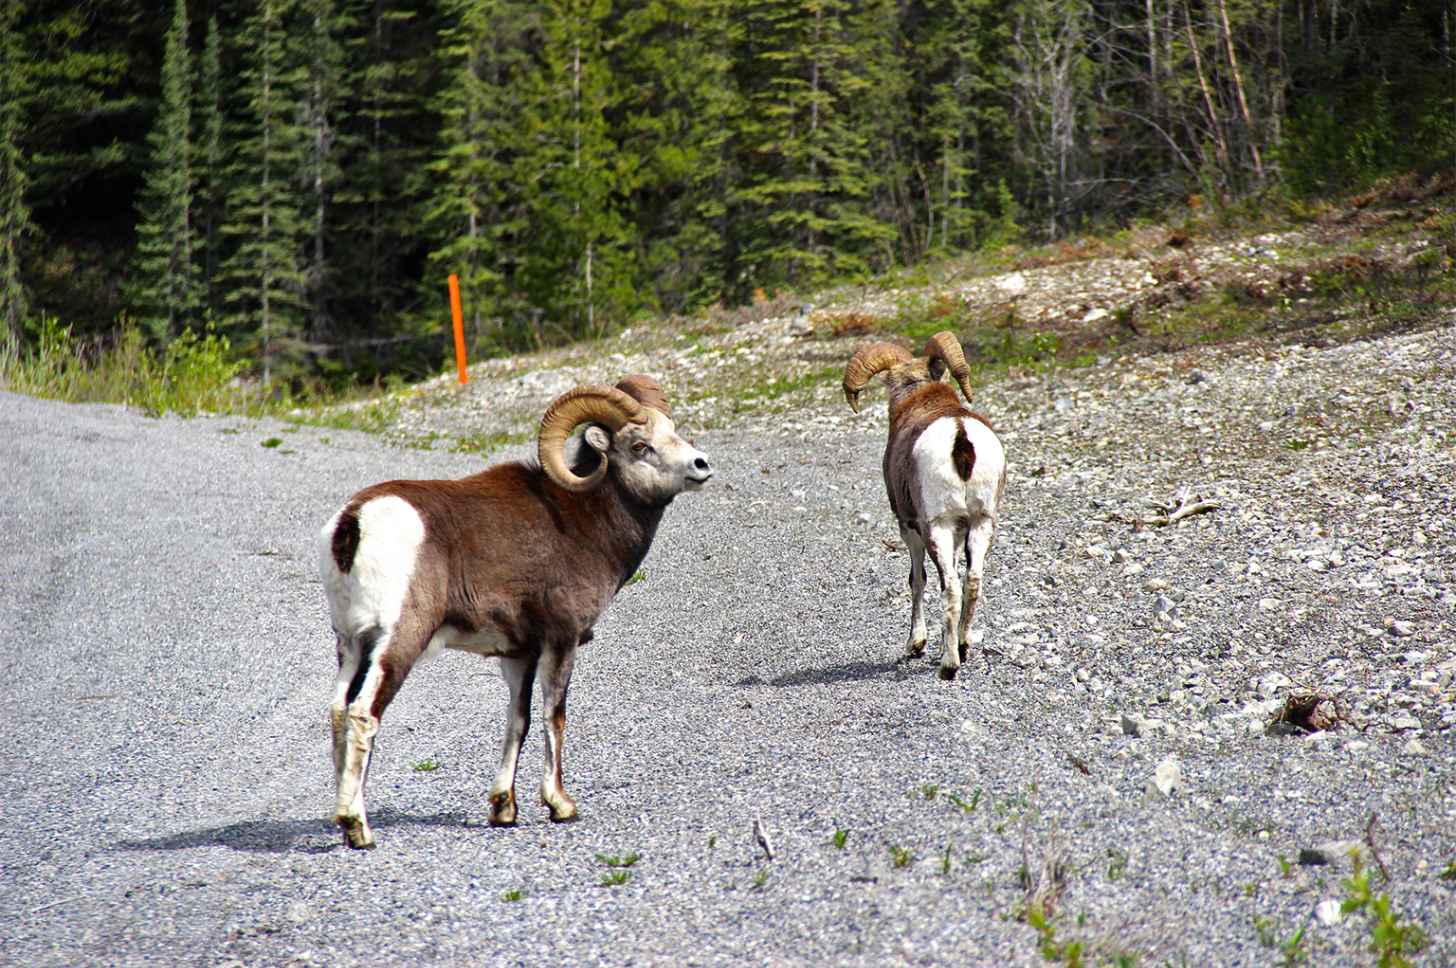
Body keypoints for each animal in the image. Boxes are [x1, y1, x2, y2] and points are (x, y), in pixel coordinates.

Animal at [318, 375, 712, 848]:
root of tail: (352, 525)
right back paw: (358, 829)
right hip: (397, 640)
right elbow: (553, 717)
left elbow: (516, 722)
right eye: (640, 446)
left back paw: (343, 824)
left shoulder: (519, 653)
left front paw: (504, 809)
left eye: (673, 430)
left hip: (352, 645)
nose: (701, 465)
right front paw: (560, 805)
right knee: (363, 714)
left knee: (339, 711)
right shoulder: (561, 641)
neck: (585, 523)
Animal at [842, 331, 1006, 680]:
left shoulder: (908, 526)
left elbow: (916, 580)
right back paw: (963, 647)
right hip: (982, 522)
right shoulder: (960, 530)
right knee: (971, 581)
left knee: (951, 587)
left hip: (937, 527)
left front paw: (915, 645)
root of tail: (960, 435)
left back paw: (949, 665)